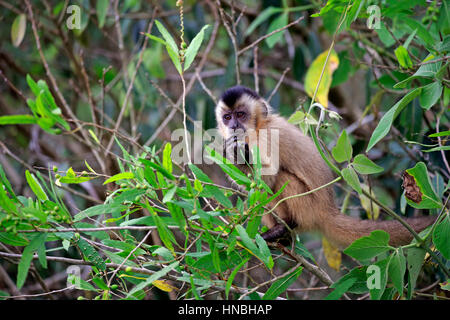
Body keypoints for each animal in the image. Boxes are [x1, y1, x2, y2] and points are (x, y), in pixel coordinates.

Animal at [216, 85, 434, 250]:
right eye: (227, 117)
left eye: (241, 115)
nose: (233, 126)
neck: (258, 127)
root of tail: (328, 211)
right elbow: (251, 186)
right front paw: (231, 152)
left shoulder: (268, 135)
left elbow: (267, 179)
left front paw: (239, 154)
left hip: (309, 209)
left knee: (282, 179)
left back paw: (286, 226)